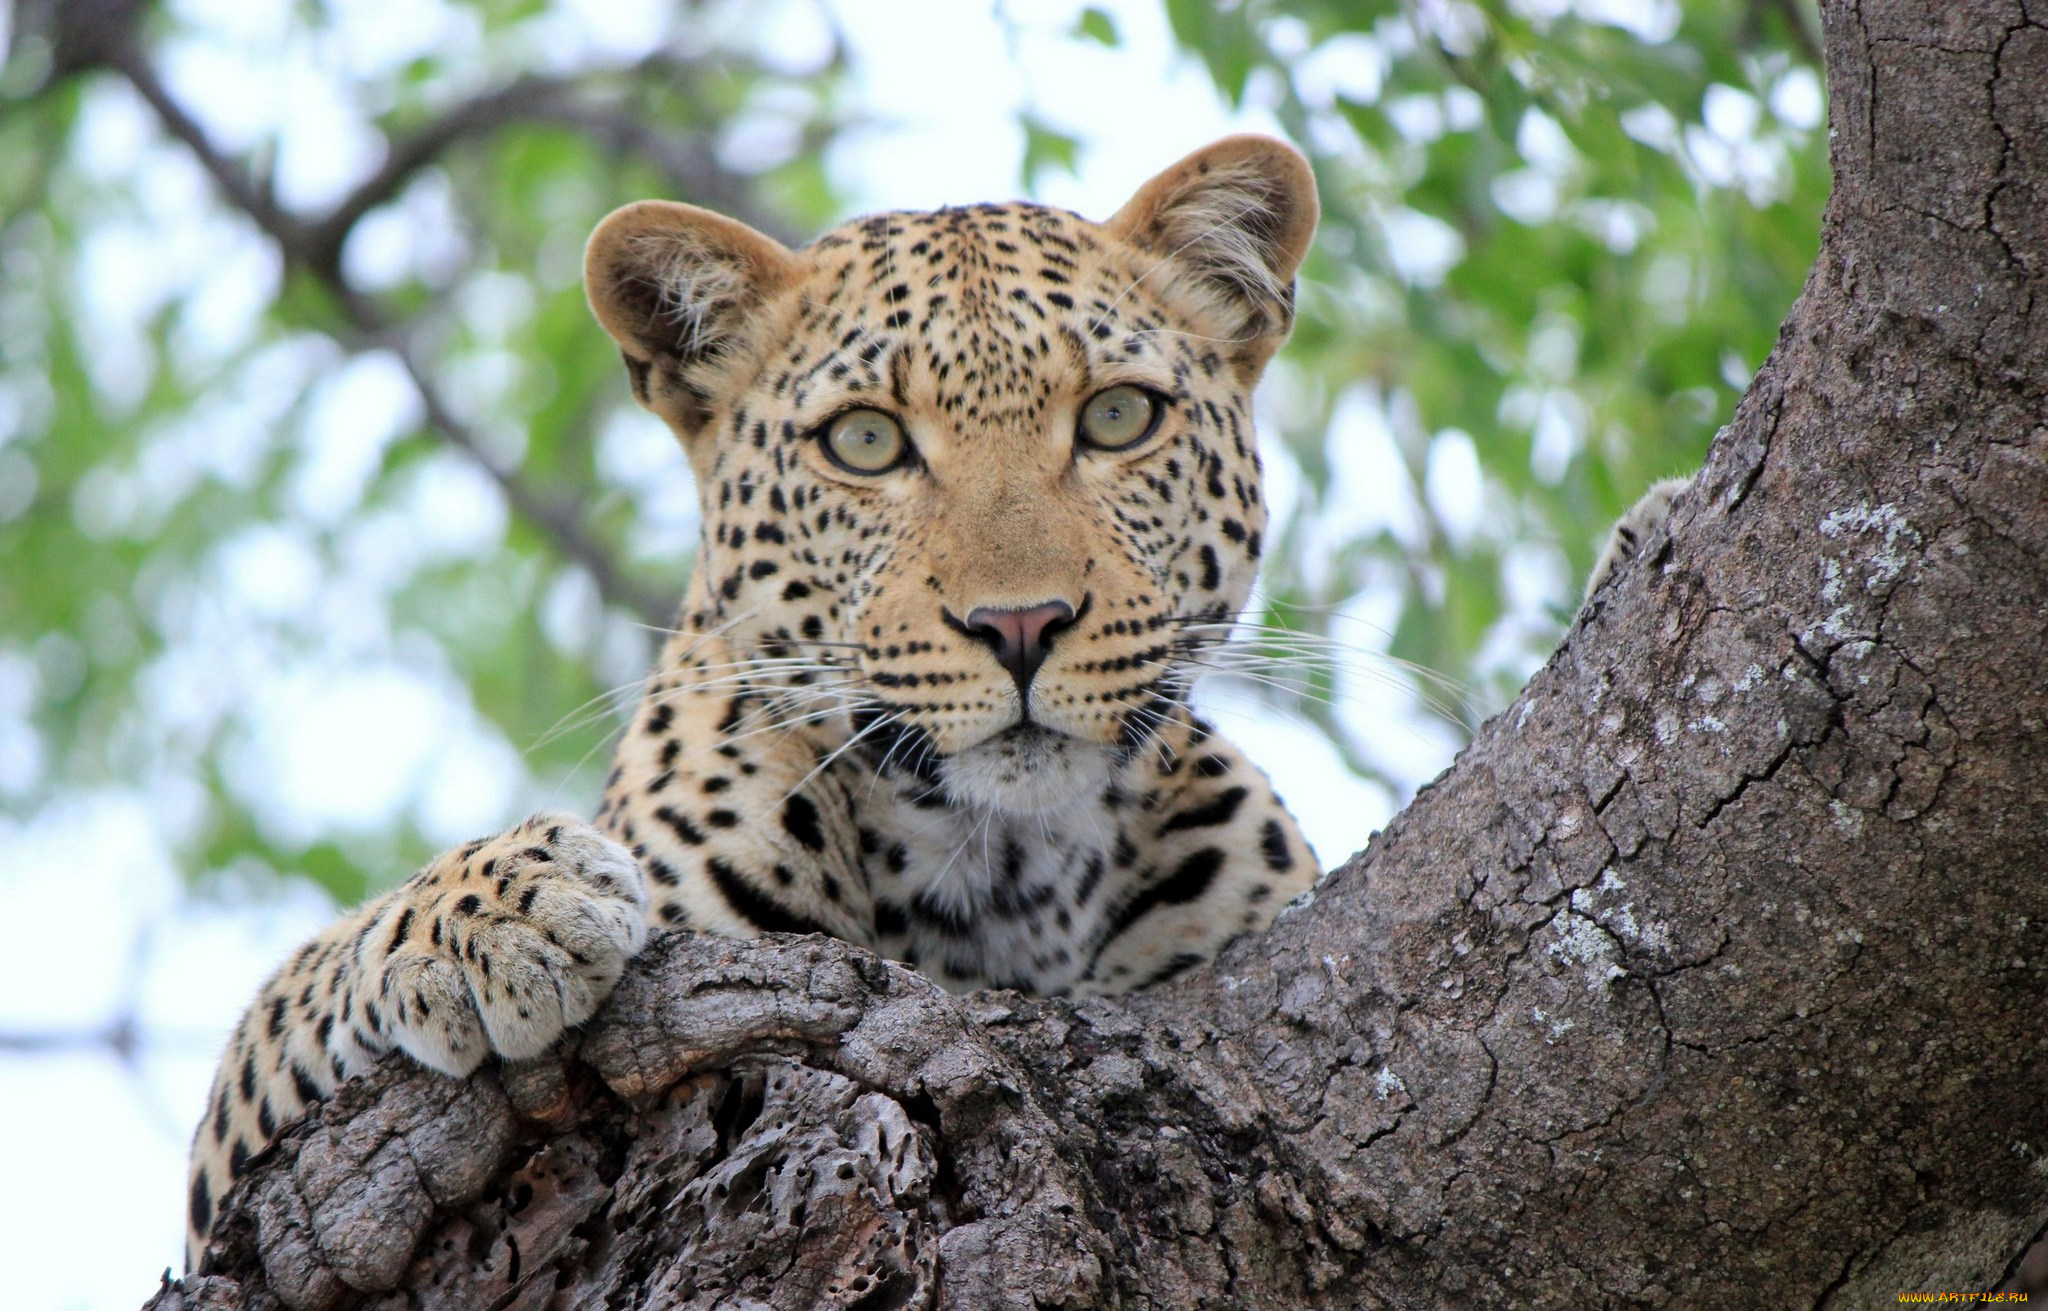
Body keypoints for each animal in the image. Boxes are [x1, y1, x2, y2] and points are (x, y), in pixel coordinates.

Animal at [182, 135, 1330, 1269]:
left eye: (1117, 417)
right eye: (864, 441)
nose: (1020, 625)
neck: (1008, 871)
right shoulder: (222, 1195)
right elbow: (295, 994)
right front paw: (498, 914)